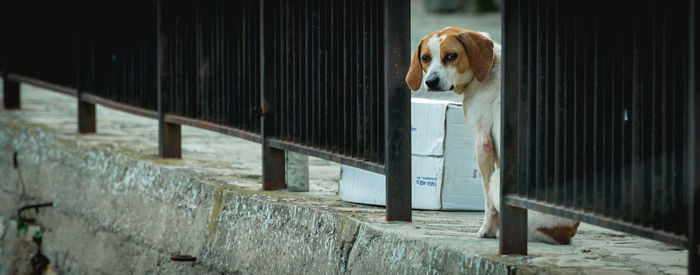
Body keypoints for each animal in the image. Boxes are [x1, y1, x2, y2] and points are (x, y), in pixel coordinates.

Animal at [404, 27, 580, 245]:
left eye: (451, 56)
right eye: (425, 58)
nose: (431, 81)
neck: (487, 69)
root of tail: (564, 233)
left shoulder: (483, 142)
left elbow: (488, 203)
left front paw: (486, 230)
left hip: (498, 181)